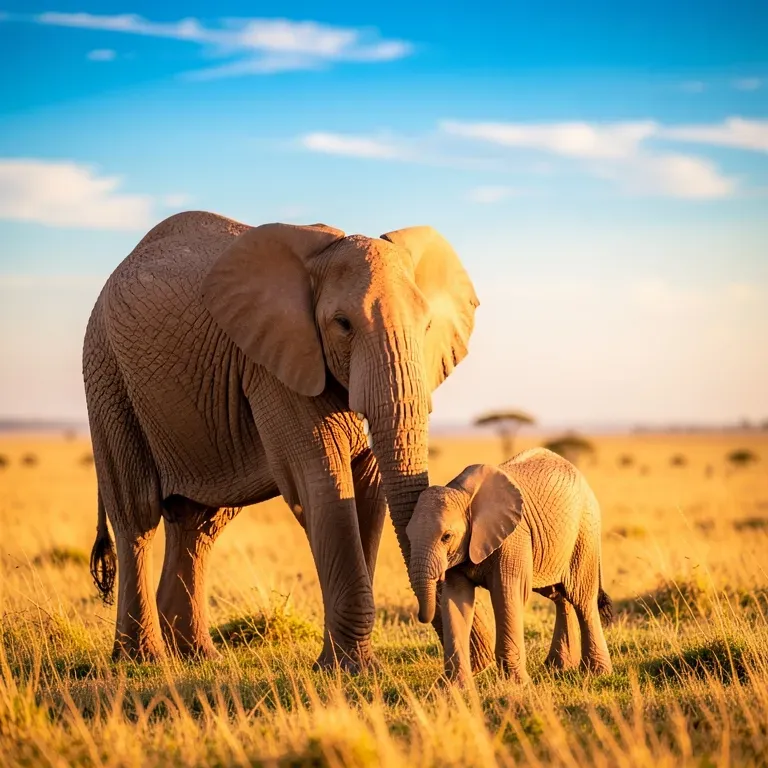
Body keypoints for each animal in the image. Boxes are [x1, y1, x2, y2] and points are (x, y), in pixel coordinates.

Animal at [83, 210, 497, 671]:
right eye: (343, 324)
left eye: (427, 326)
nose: (480, 662)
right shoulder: (272, 366)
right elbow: (322, 484)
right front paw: (350, 669)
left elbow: (370, 493)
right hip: (107, 373)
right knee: (137, 515)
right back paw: (144, 660)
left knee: (198, 524)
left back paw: (197, 656)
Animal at [406, 448, 614, 686]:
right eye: (408, 536)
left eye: (446, 537)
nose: (422, 617)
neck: (464, 495)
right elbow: (456, 600)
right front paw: (456, 688)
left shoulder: (514, 537)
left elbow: (506, 593)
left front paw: (516, 685)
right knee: (560, 596)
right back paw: (557, 668)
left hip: (584, 533)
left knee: (581, 598)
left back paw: (597, 673)